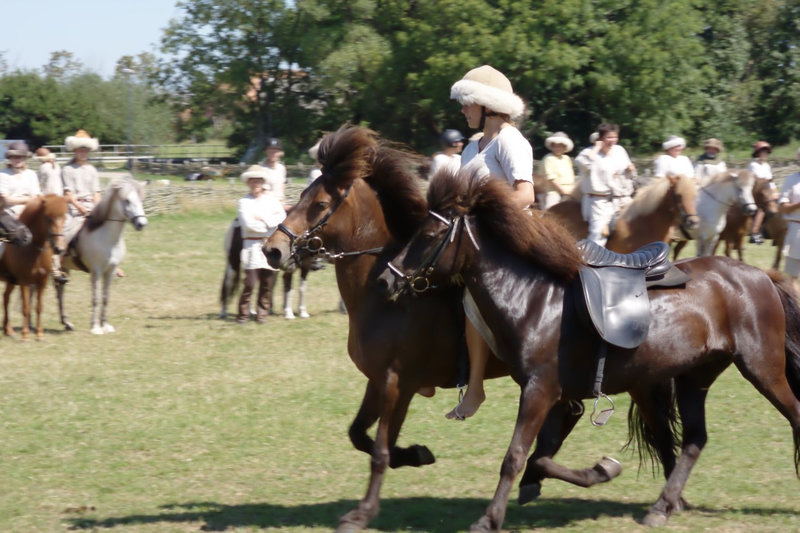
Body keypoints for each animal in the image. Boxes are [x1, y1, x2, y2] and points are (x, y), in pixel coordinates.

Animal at [0, 193, 67, 338]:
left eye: (64, 217)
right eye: (48, 218)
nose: (59, 249)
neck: (34, 249)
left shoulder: (42, 281)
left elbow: (38, 307)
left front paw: (39, 334)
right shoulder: (24, 281)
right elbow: (26, 307)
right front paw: (25, 335)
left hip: (11, 281)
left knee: (6, 297)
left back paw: (9, 330)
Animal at [58, 178, 149, 332]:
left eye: (141, 200)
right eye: (126, 200)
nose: (141, 224)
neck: (107, 239)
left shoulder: (110, 271)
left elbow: (106, 297)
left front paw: (105, 325)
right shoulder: (96, 272)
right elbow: (95, 298)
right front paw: (95, 327)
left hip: (64, 269)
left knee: (59, 291)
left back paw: (66, 323)